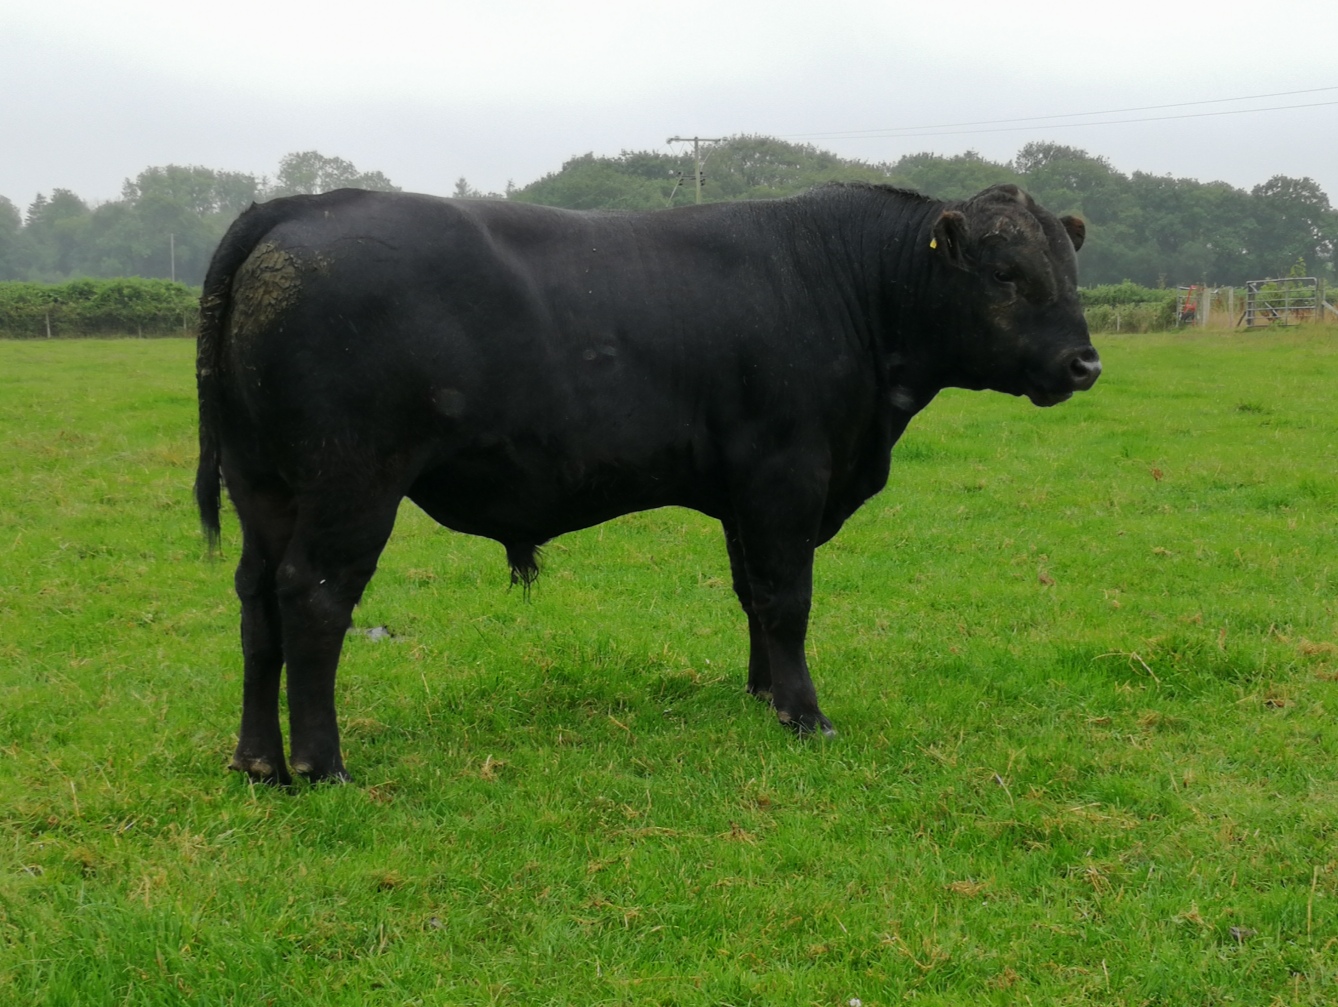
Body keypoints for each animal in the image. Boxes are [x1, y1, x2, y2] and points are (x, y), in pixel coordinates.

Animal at [195, 182, 1100, 784]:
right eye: (1005, 273)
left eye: (1070, 271)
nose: (1084, 363)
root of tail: (299, 206)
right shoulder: (785, 471)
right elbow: (789, 598)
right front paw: (806, 715)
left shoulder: (743, 492)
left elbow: (752, 594)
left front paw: (762, 694)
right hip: (351, 483)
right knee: (313, 599)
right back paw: (323, 766)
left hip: (262, 485)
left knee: (257, 604)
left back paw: (258, 762)